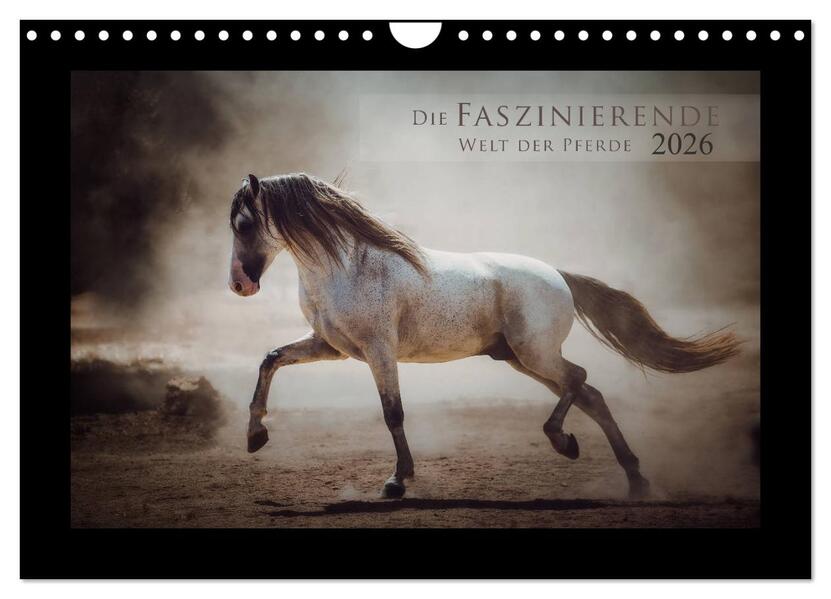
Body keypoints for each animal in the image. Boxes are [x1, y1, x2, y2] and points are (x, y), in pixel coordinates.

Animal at [228, 172, 740, 499]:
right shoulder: (332, 348)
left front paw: (397, 482)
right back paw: (634, 480)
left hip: (534, 355)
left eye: (245, 224)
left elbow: (393, 413)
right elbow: (270, 358)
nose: (240, 286)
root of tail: (558, 275)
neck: (346, 266)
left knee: (579, 379)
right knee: (591, 394)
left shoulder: (379, 351)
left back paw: (564, 442)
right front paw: (256, 437)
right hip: (518, 358)